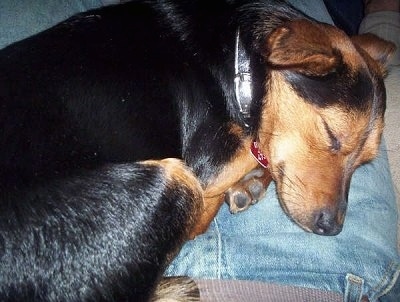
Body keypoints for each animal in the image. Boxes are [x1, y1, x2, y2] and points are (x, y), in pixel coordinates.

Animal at [0, 0, 394, 300]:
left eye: (364, 163)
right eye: (331, 135)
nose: (332, 228)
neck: (240, 64)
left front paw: (255, 179)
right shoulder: (207, 164)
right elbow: (255, 148)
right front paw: (253, 175)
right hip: (172, 180)